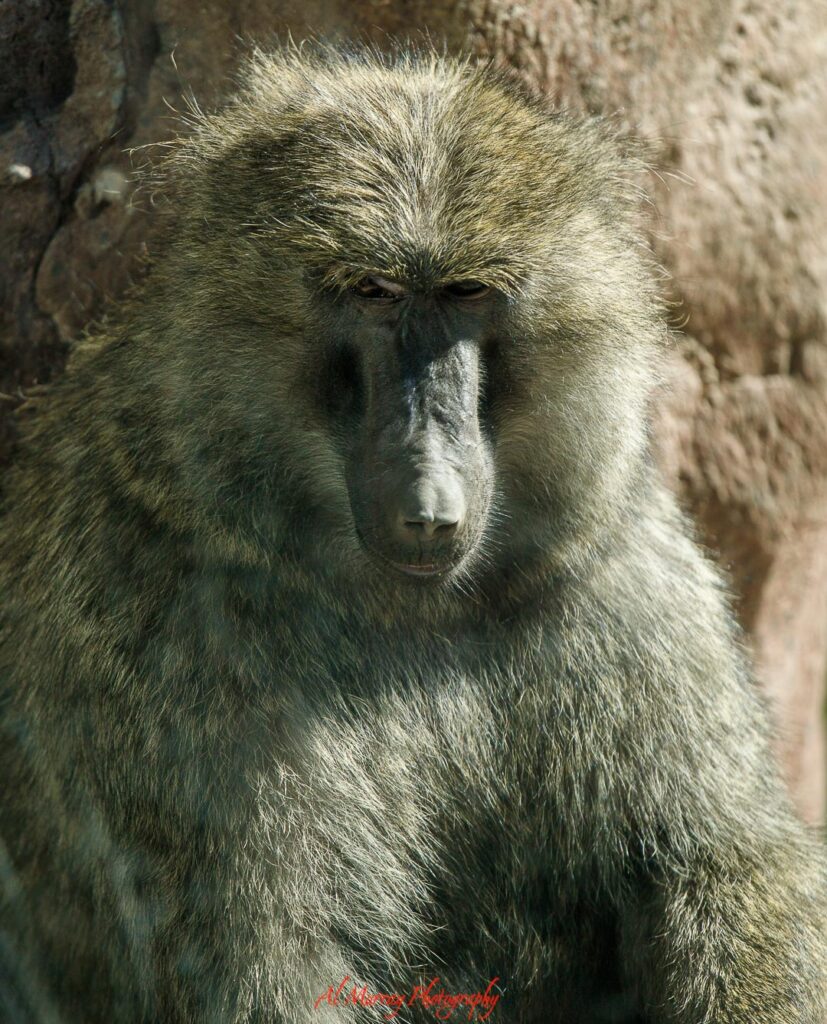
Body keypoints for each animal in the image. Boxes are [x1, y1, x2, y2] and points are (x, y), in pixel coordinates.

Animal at [0, 43, 825, 1024]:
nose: (430, 500)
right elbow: (269, 969)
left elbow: (725, 866)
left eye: (466, 292)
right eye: (372, 291)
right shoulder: (147, 606)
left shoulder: (614, 562)